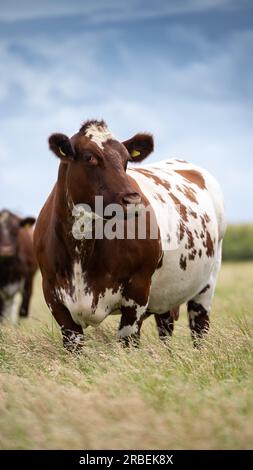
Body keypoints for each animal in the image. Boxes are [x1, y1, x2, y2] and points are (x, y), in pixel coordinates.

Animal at [33, 119, 225, 350]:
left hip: (206, 284)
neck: (81, 250)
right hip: (167, 295)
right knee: (165, 328)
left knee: (199, 329)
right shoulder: (54, 298)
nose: (133, 200)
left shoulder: (137, 293)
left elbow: (128, 342)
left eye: (126, 160)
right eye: (90, 157)